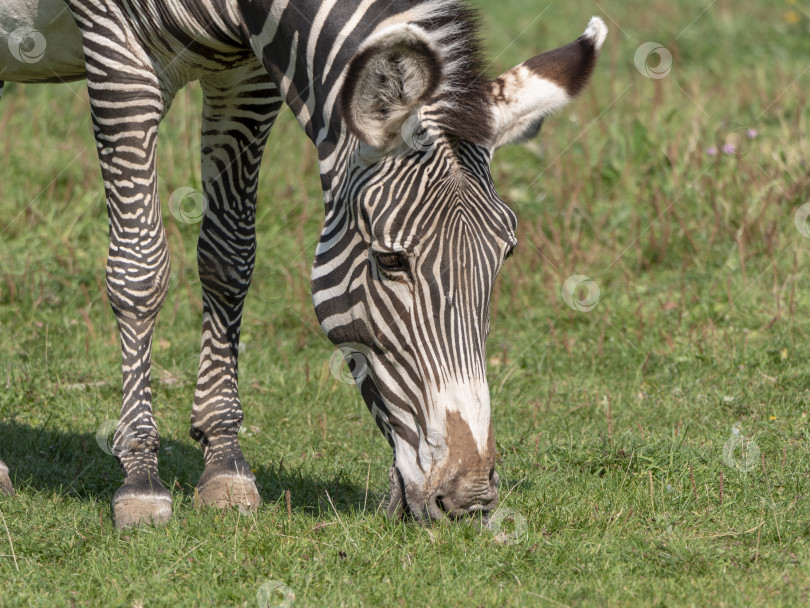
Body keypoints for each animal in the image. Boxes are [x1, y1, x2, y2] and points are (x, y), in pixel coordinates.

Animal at [1, 0, 608, 528]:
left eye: (506, 254)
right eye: (390, 260)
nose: (470, 497)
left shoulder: (248, 73)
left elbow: (228, 257)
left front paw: (225, 466)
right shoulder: (117, 52)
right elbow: (140, 268)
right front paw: (140, 481)